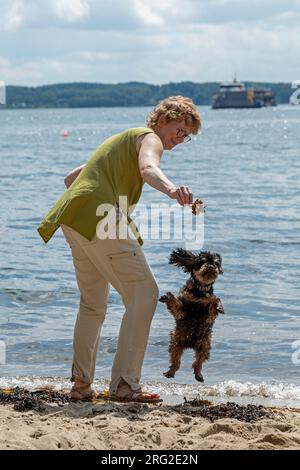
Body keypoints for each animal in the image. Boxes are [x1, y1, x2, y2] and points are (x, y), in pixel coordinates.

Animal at [159, 248, 223, 384]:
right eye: (202, 261)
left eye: (216, 263)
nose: (210, 266)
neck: (199, 291)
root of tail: (190, 344)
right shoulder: (182, 311)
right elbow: (175, 304)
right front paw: (167, 296)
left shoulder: (209, 312)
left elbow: (213, 302)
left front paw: (218, 305)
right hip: (176, 341)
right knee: (175, 360)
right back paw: (170, 372)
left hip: (204, 343)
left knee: (198, 362)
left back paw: (198, 375)